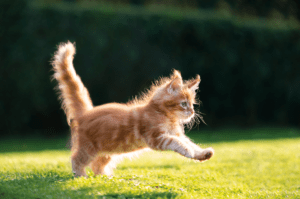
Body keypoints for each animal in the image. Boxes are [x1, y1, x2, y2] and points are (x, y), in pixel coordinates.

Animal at [51, 41, 213, 176]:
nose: (192, 112)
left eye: (192, 104)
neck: (166, 116)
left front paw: (203, 153)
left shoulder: (177, 134)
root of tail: (86, 113)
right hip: (88, 148)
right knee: (76, 159)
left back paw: (105, 178)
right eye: (184, 104)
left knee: (97, 165)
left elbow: (190, 143)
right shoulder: (157, 138)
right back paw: (81, 176)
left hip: (107, 151)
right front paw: (189, 152)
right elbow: (179, 143)